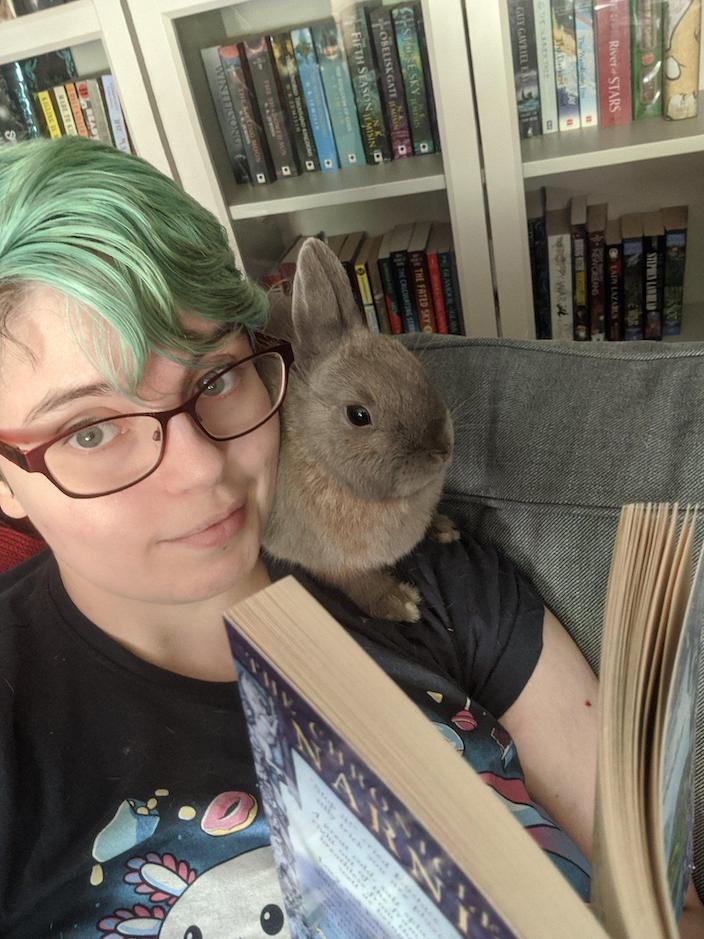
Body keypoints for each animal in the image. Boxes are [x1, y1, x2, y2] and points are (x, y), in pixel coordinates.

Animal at [262, 236, 457, 623]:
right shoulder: (325, 560)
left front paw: (444, 528)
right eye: (358, 415)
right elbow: (357, 583)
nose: (441, 450)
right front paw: (400, 603)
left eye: (416, 369)